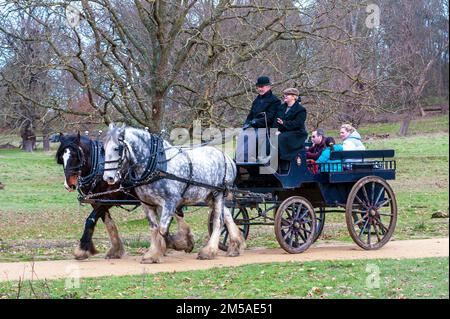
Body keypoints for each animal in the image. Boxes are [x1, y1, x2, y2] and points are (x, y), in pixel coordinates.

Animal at [56, 132, 193, 260]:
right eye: (62, 158)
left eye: (75, 156)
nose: (69, 184)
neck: (100, 167)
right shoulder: (97, 200)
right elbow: (109, 224)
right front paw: (116, 250)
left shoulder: (108, 198)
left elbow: (90, 220)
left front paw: (82, 249)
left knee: (176, 214)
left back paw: (182, 241)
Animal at [103, 124, 246, 264]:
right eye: (103, 149)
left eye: (117, 148)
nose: (108, 177)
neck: (156, 165)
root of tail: (227, 157)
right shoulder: (147, 204)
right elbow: (154, 229)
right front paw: (152, 254)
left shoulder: (170, 202)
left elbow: (163, 229)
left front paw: (181, 244)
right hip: (209, 196)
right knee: (227, 216)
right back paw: (235, 246)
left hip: (218, 193)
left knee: (218, 221)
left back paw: (208, 252)